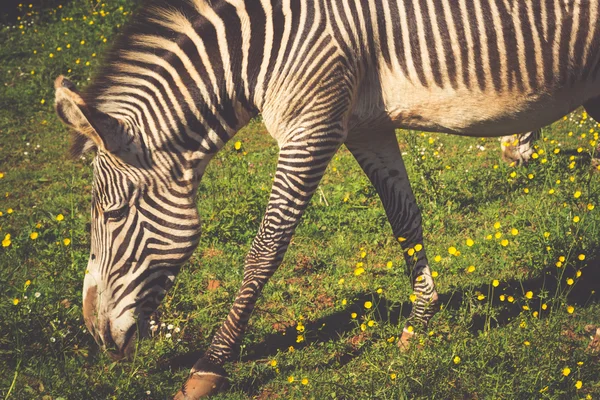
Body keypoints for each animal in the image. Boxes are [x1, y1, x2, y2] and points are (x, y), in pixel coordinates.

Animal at [52, 0, 600, 398]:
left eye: (114, 213)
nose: (95, 335)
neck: (264, 53)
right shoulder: (365, 125)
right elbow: (404, 218)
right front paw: (421, 321)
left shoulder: (311, 129)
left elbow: (265, 248)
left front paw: (210, 366)